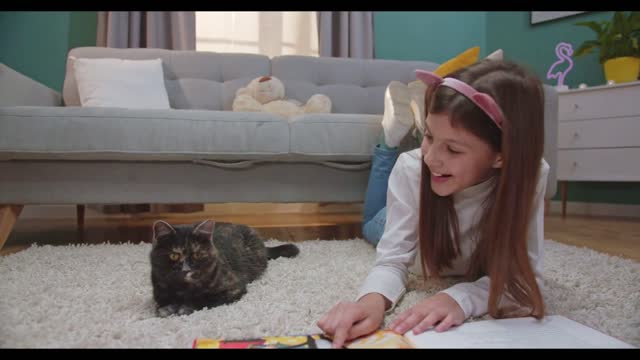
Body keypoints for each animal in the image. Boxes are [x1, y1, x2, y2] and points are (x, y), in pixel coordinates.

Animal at [150, 218, 300, 316]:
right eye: (174, 255)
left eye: (198, 254)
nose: (186, 268)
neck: (184, 288)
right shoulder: (158, 291)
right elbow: (162, 302)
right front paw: (167, 308)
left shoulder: (234, 287)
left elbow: (204, 299)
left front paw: (185, 307)